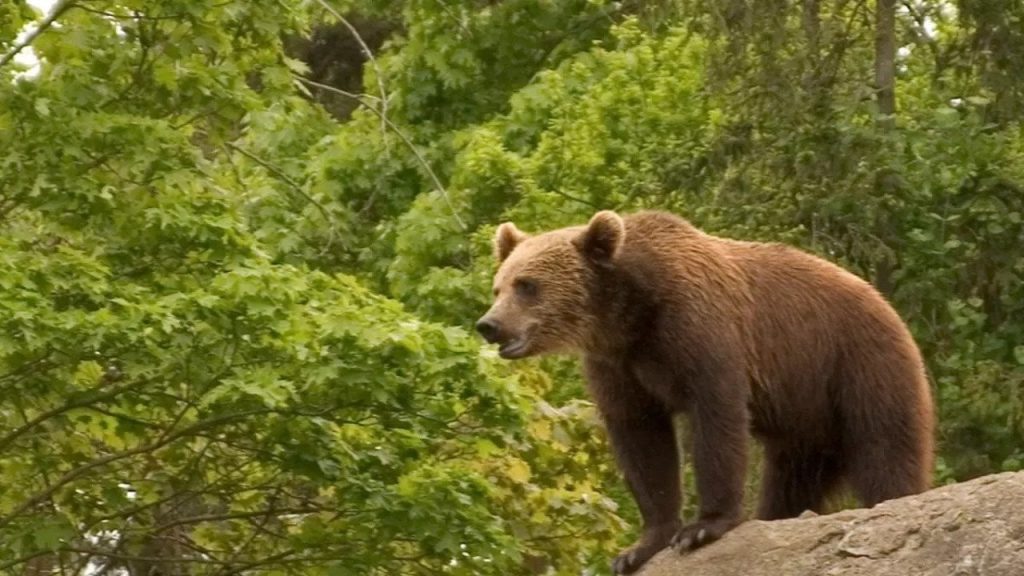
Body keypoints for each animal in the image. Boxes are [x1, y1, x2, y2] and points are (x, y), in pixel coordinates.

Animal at [475, 208, 933, 569]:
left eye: (528, 285)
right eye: (499, 285)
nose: (490, 324)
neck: (630, 314)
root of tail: (885, 304)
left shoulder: (700, 328)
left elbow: (715, 417)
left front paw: (703, 527)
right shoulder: (619, 367)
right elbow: (642, 441)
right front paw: (640, 547)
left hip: (856, 365)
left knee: (885, 450)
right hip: (804, 422)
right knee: (791, 479)